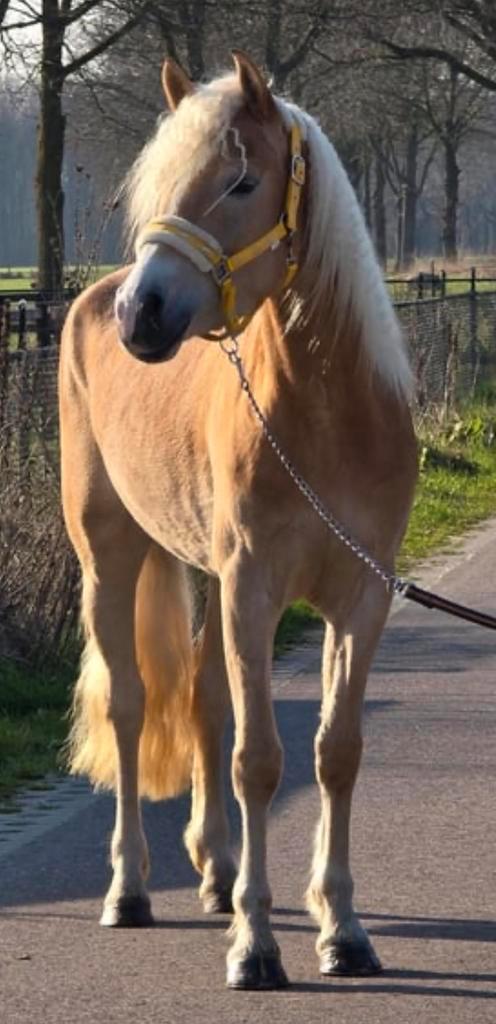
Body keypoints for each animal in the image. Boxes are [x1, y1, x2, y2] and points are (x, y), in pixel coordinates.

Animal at [59, 51, 417, 990]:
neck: (329, 418)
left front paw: (343, 929)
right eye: (162, 184)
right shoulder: (254, 589)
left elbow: (335, 751)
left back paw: (217, 872)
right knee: (132, 705)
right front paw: (257, 945)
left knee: (203, 701)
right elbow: (260, 760)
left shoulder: (359, 600)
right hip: (111, 561)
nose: (140, 315)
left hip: (209, 578)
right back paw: (131, 890)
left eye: (243, 181)